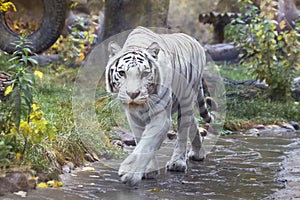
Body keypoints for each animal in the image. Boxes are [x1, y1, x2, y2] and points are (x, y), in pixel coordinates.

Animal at [106, 26, 216, 186]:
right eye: (122, 73)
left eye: (145, 73)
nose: (133, 94)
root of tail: (195, 40)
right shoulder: (133, 117)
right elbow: (141, 139)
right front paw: (149, 170)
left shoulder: (162, 116)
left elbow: (147, 143)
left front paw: (130, 172)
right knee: (193, 122)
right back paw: (197, 153)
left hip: (187, 98)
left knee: (183, 131)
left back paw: (178, 163)